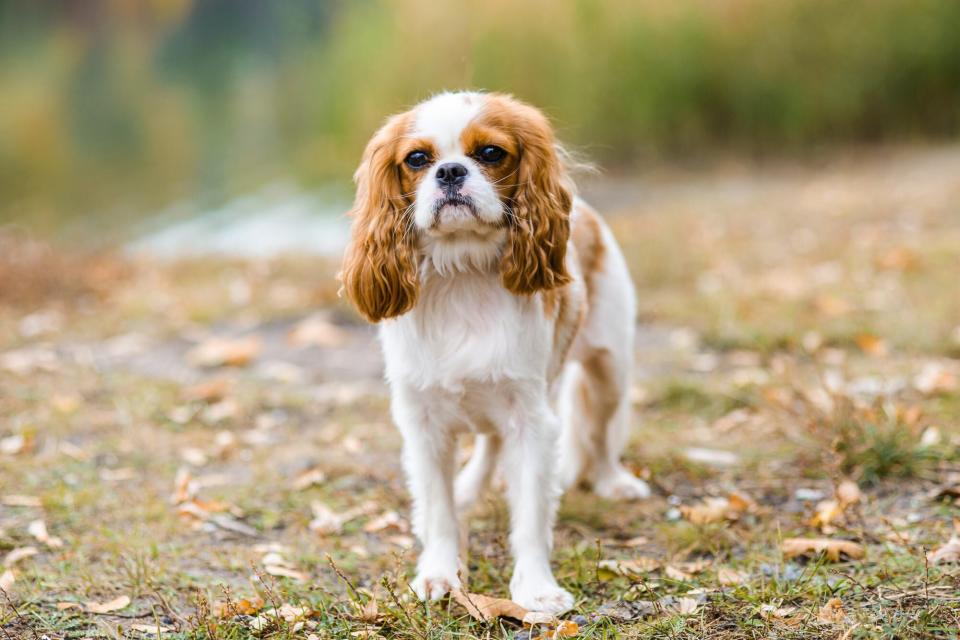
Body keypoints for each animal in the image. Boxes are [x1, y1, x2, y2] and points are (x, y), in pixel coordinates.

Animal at [336, 92, 644, 612]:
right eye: (417, 159)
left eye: (490, 153)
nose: (450, 172)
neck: (462, 271)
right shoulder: (423, 424)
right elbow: (438, 510)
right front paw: (439, 574)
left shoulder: (531, 420)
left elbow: (531, 515)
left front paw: (535, 588)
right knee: (488, 447)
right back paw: (468, 489)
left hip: (610, 370)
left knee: (600, 434)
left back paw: (612, 482)